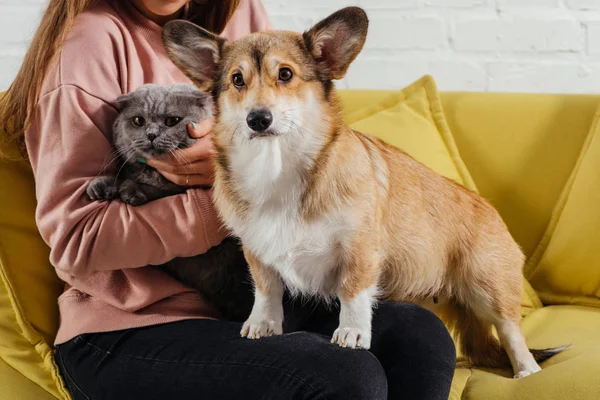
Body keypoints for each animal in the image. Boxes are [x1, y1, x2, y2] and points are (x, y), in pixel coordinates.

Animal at [86, 83, 253, 322]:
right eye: (138, 121)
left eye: (172, 121)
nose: (151, 134)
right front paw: (101, 186)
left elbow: (152, 189)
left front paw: (130, 190)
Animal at [163, 7, 568, 380]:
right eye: (237, 80)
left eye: (286, 74)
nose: (258, 119)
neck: (277, 169)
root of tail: (488, 207)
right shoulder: (257, 251)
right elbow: (267, 290)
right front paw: (263, 324)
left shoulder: (360, 250)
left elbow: (352, 293)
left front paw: (352, 332)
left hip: (488, 289)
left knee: (512, 333)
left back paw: (526, 373)